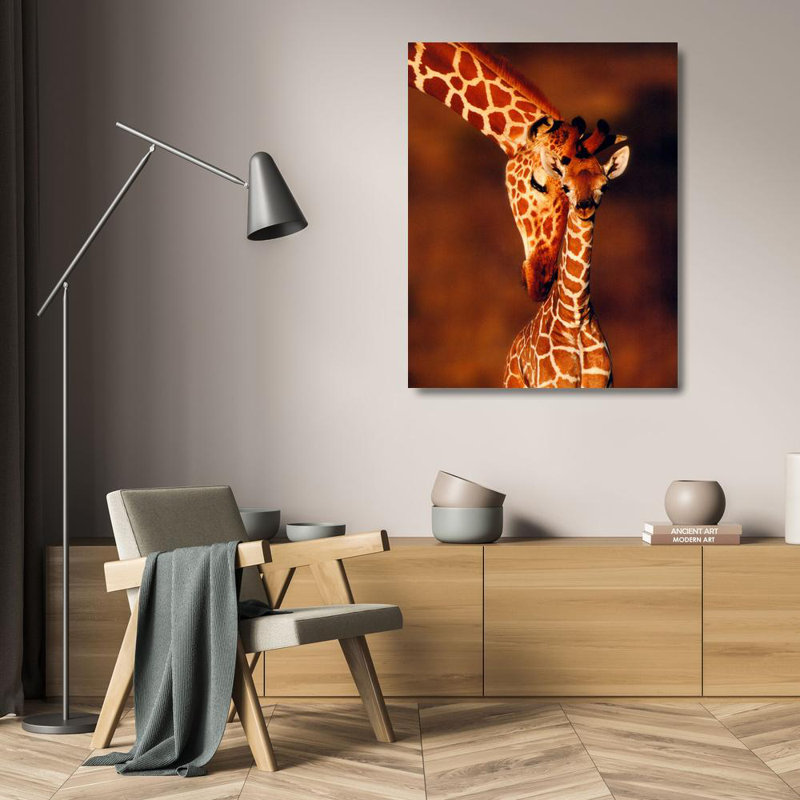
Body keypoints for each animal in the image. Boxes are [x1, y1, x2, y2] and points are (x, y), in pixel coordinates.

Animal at [503, 145, 630, 388]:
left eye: (604, 185)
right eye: (566, 186)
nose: (584, 207)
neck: (575, 315)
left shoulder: (603, 384)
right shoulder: (553, 384)